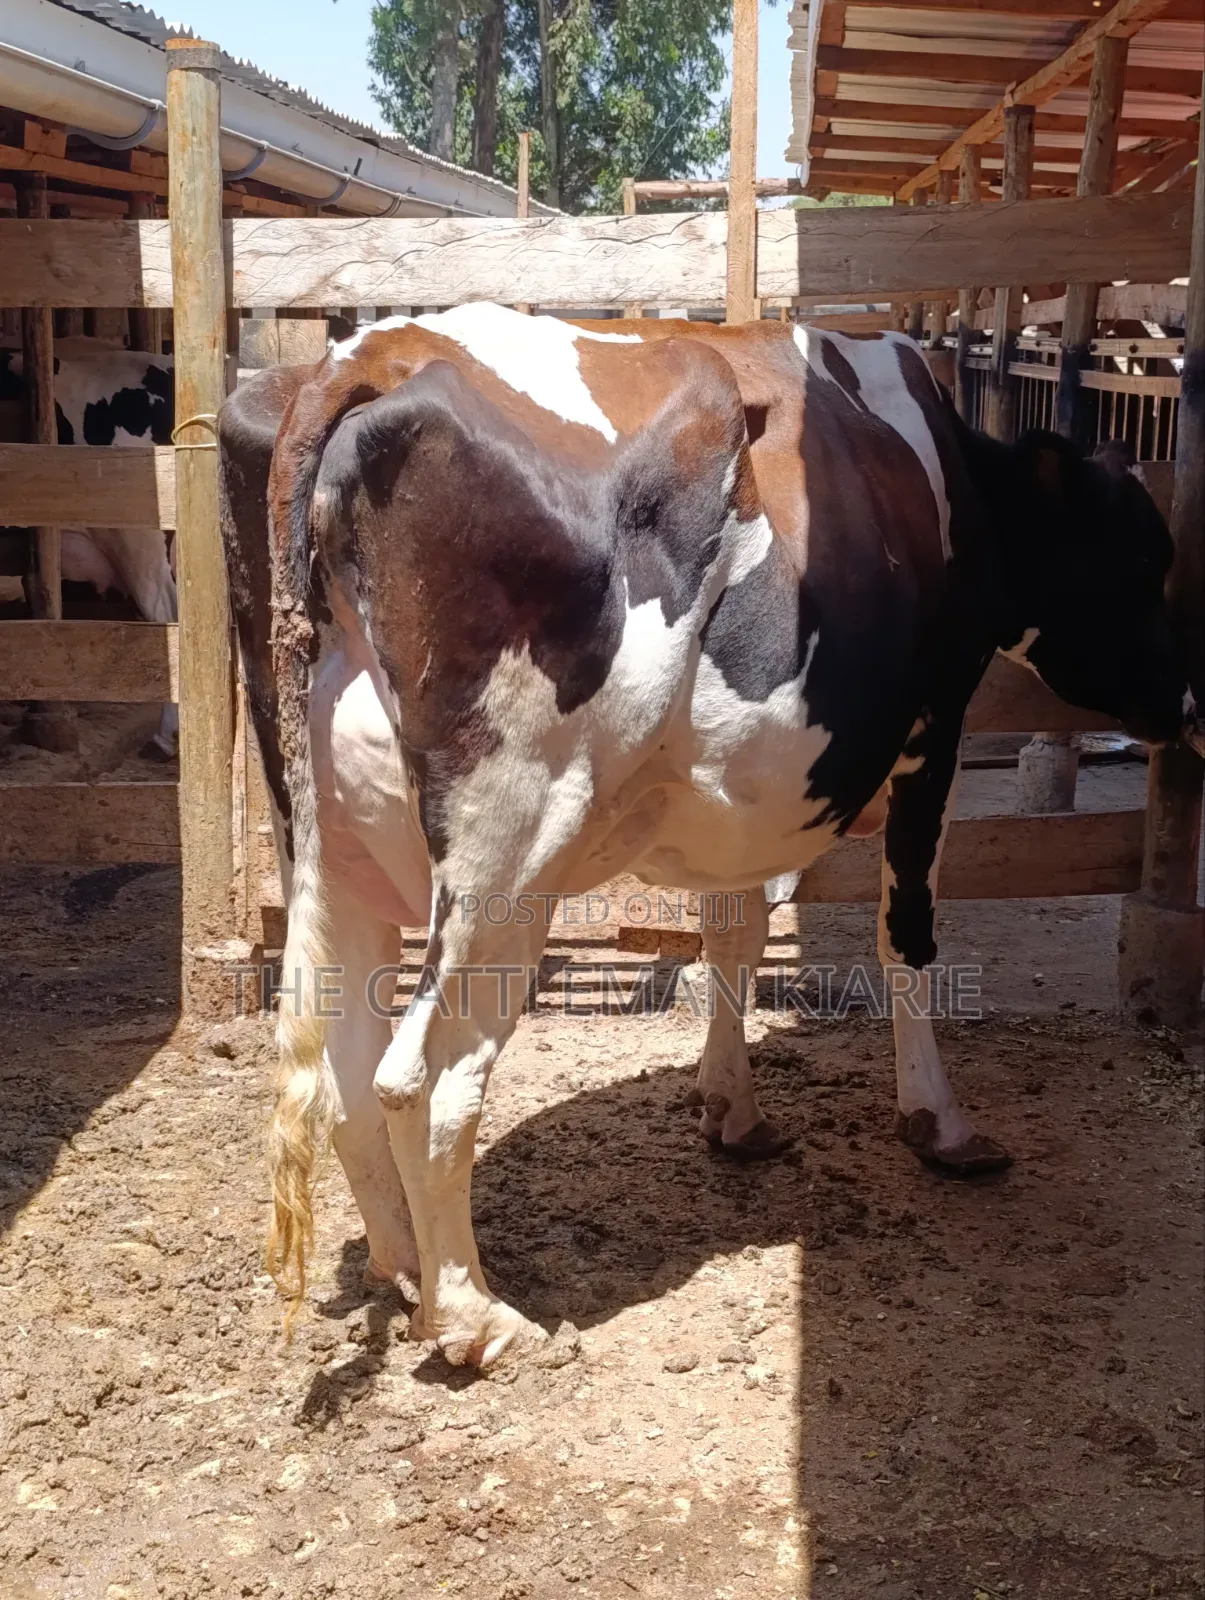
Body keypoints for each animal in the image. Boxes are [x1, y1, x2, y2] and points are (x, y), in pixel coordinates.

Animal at [217, 303, 1203, 1369]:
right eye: (1139, 563)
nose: (1187, 705)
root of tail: (370, 354)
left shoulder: (737, 782)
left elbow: (732, 933)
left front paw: (732, 1110)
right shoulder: (932, 733)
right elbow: (906, 939)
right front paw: (939, 1124)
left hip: (329, 849)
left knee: (343, 1074)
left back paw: (403, 1273)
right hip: (507, 851)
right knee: (419, 1079)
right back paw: (476, 1319)